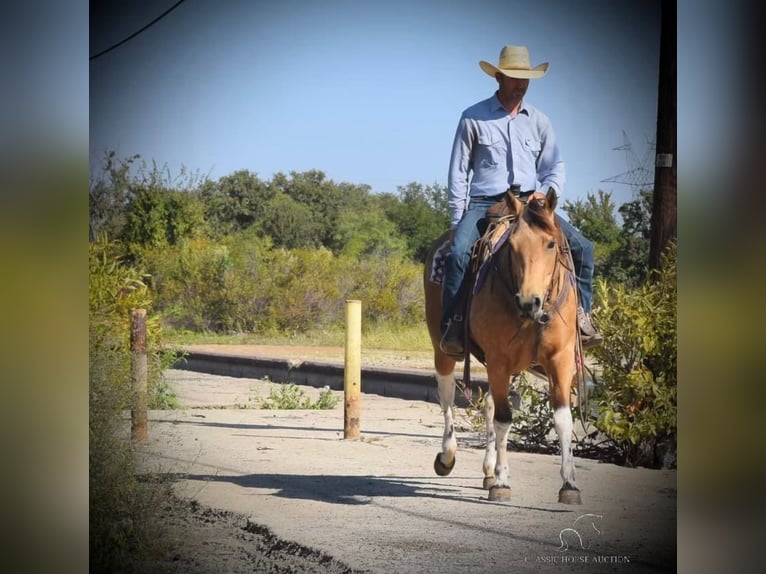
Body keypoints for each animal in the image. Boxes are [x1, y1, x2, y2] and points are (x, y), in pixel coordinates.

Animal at [426, 188, 584, 504]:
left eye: (551, 244)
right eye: (512, 245)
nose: (528, 302)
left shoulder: (560, 360)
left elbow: (563, 419)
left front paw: (570, 484)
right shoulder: (499, 359)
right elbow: (503, 418)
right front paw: (501, 481)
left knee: (487, 404)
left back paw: (487, 470)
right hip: (444, 349)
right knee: (447, 394)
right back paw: (447, 456)